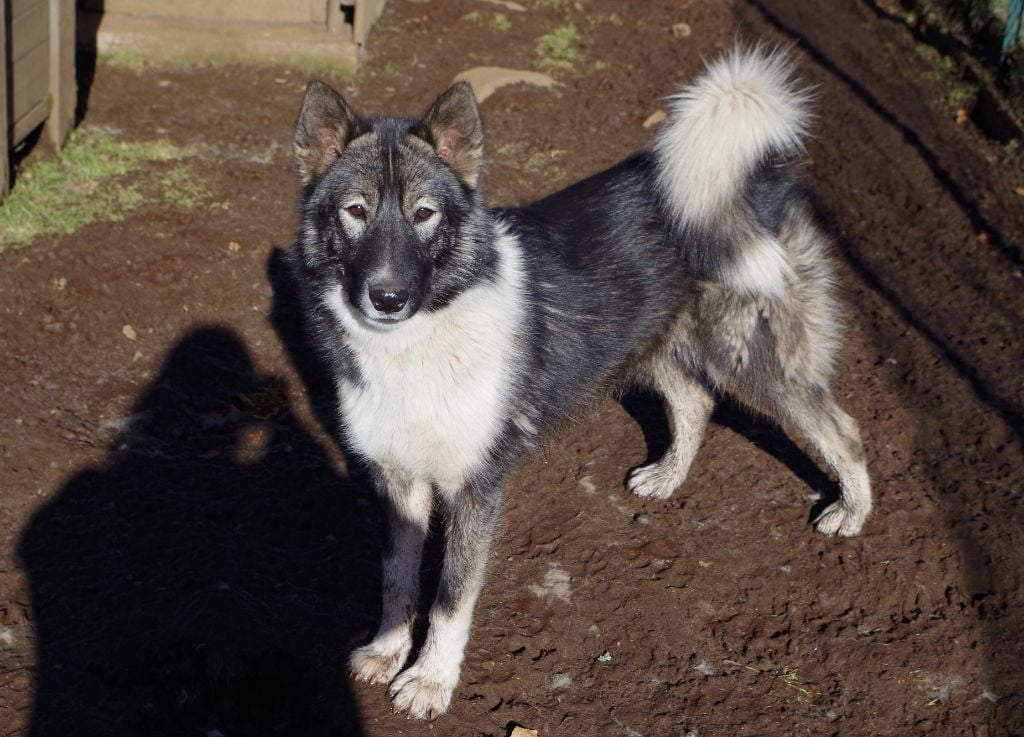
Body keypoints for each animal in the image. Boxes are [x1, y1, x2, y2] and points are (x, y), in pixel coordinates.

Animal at [286, 46, 872, 720]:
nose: (387, 298)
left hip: (755, 360)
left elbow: (451, 599)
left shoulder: (474, 490)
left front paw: (431, 680)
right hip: (652, 344)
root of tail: (757, 183)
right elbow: (396, 579)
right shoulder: (399, 479)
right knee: (696, 400)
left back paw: (852, 511)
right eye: (354, 211)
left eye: (424, 214)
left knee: (842, 429)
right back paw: (668, 477)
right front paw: (387, 651)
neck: (421, 337)